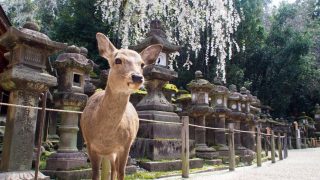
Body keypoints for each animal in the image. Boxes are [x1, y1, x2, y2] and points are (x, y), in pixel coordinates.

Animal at [80, 32, 162, 180]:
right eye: (118, 60)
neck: (106, 136)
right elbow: (95, 174)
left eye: (142, 64)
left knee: (114, 170)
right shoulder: (90, 144)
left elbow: (121, 173)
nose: (137, 77)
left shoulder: (125, 145)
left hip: (115, 152)